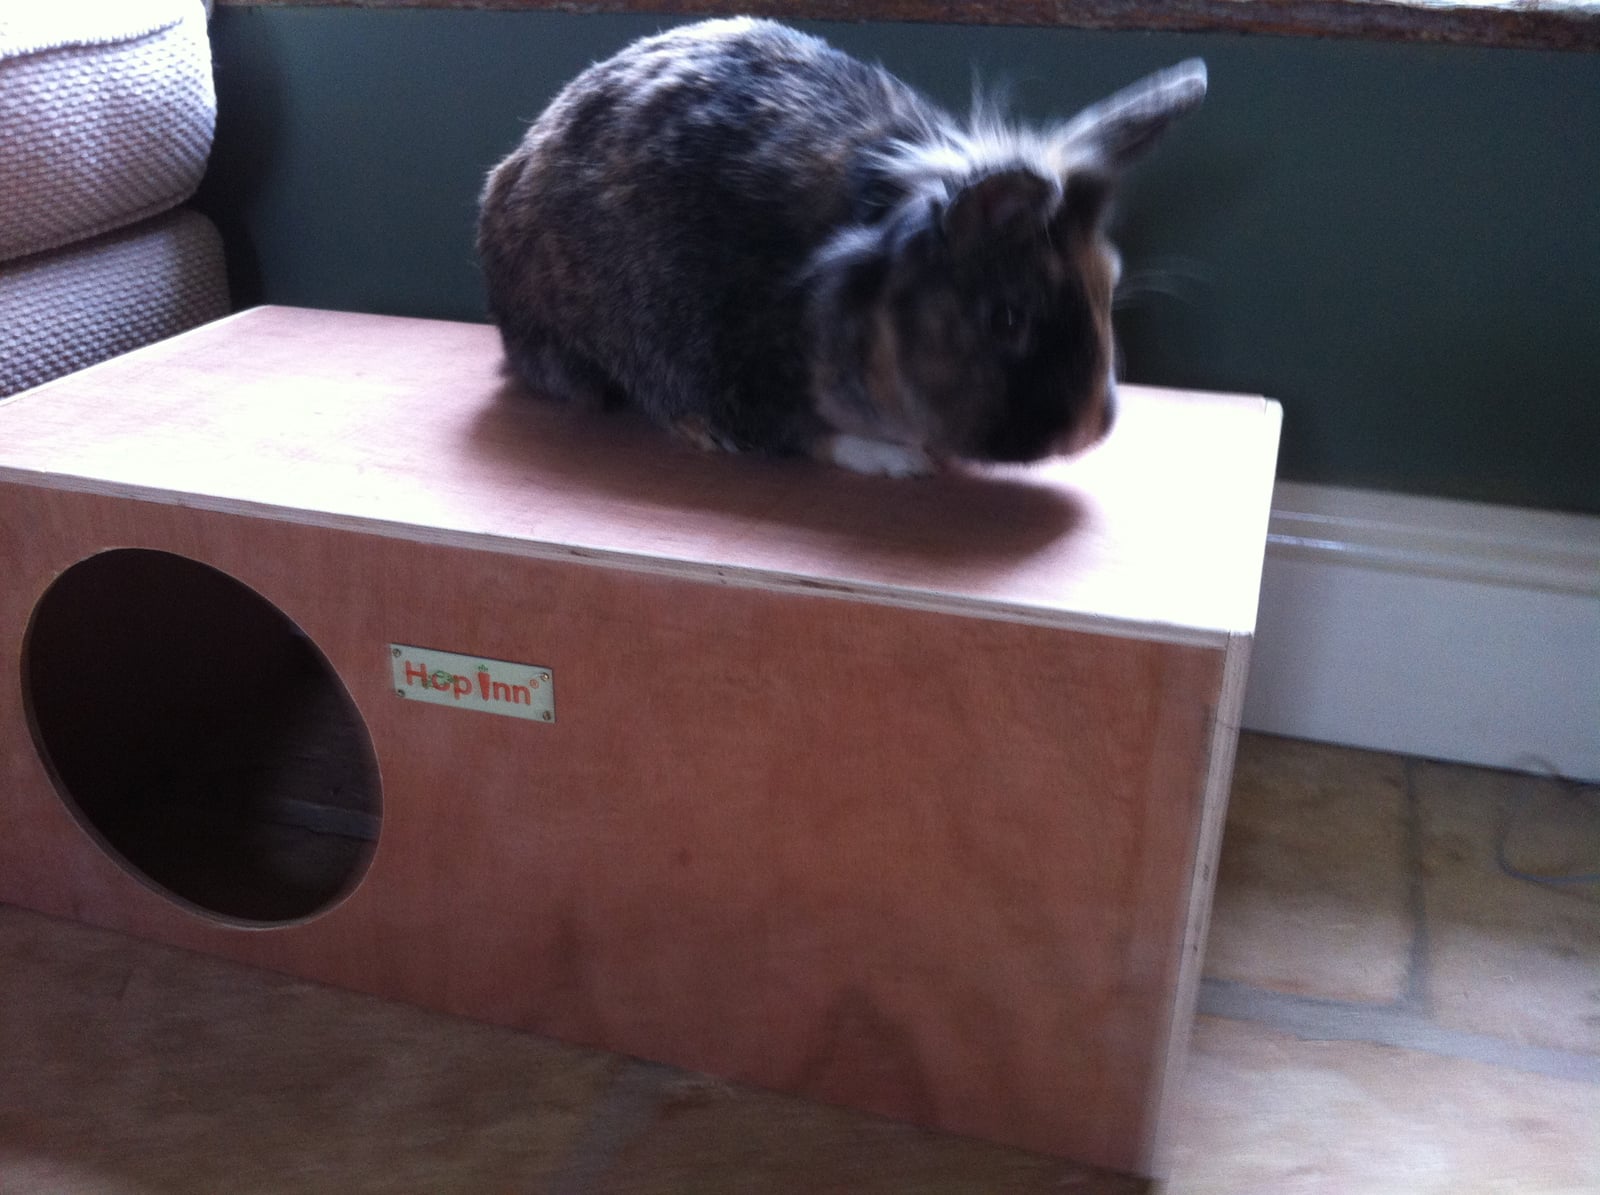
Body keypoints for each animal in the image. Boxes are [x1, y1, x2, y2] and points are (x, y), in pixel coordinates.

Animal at [477, 18, 1205, 477]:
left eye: (1108, 286)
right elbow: (811, 435)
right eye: (1007, 318)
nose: (1088, 429)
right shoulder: (739, 372)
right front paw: (896, 460)